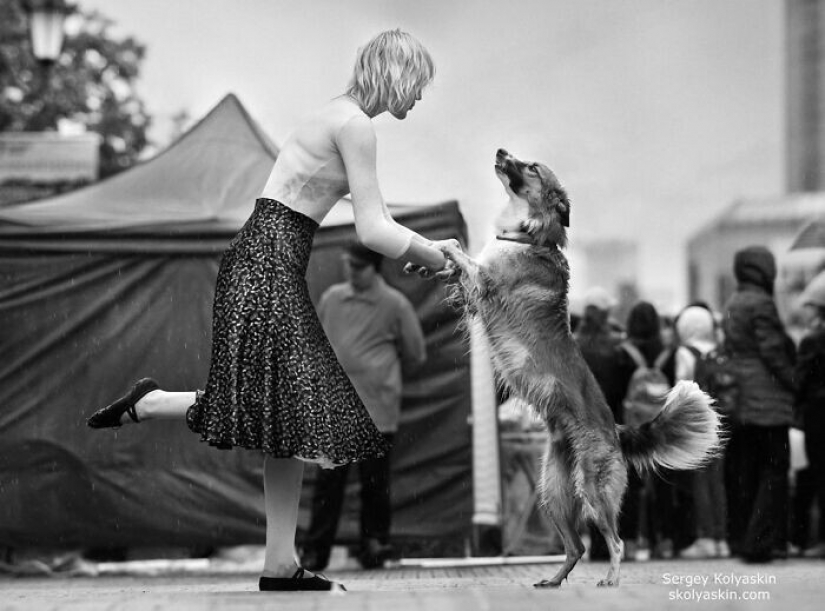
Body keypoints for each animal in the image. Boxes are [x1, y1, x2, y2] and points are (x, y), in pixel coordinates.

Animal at [428, 149, 716, 588]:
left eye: (531, 167)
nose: (500, 151)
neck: (527, 236)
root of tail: (615, 430)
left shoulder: (486, 283)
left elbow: (459, 251)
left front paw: (438, 245)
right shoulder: (475, 289)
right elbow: (459, 259)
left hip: (594, 490)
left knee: (616, 542)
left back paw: (611, 579)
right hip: (552, 492)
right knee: (577, 546)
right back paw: (552, 580)